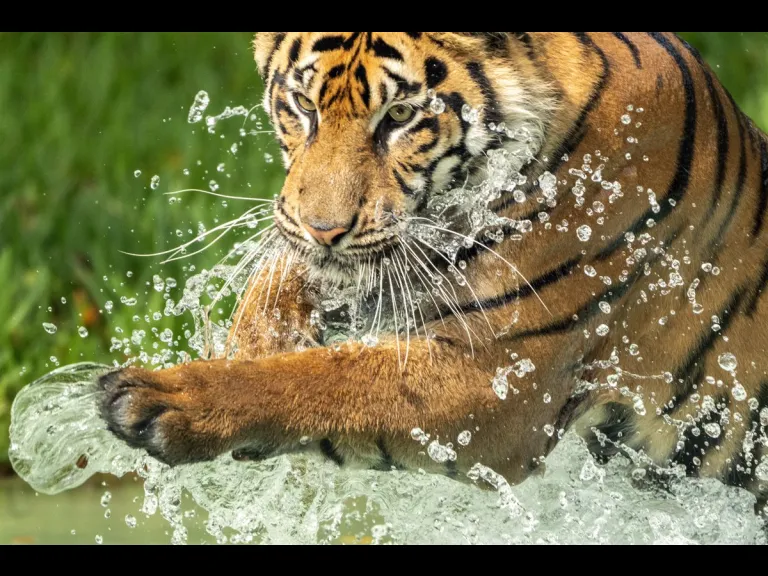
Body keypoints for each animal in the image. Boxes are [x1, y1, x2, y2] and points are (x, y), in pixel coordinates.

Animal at [100, 32, 768, 515]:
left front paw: (164, 399)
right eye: (304, 105)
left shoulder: (504, 377)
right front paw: (256, 337)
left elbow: (330, 378)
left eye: (400, 115)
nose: (324, 230)